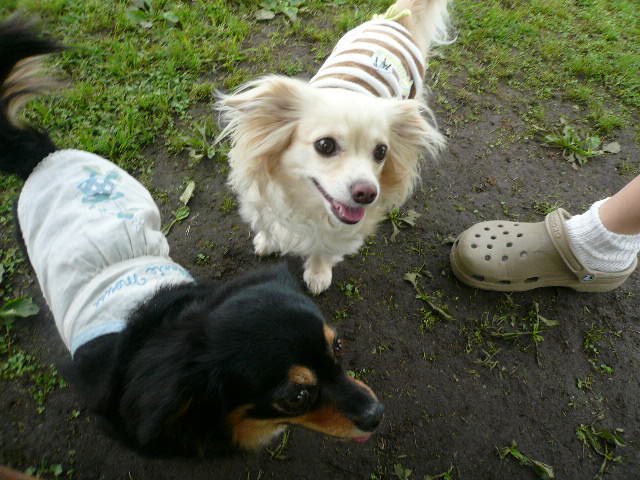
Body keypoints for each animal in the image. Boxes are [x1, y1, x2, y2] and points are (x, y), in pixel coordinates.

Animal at [217, 0, 450, 294]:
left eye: (381, 152)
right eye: (325, 145)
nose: (367, 193)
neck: (305, 203)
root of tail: (396, 20)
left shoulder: (339, 230)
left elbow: (324, 247)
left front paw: (318, 274)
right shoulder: (261, 199)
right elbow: (269, 223)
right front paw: (267, 242)